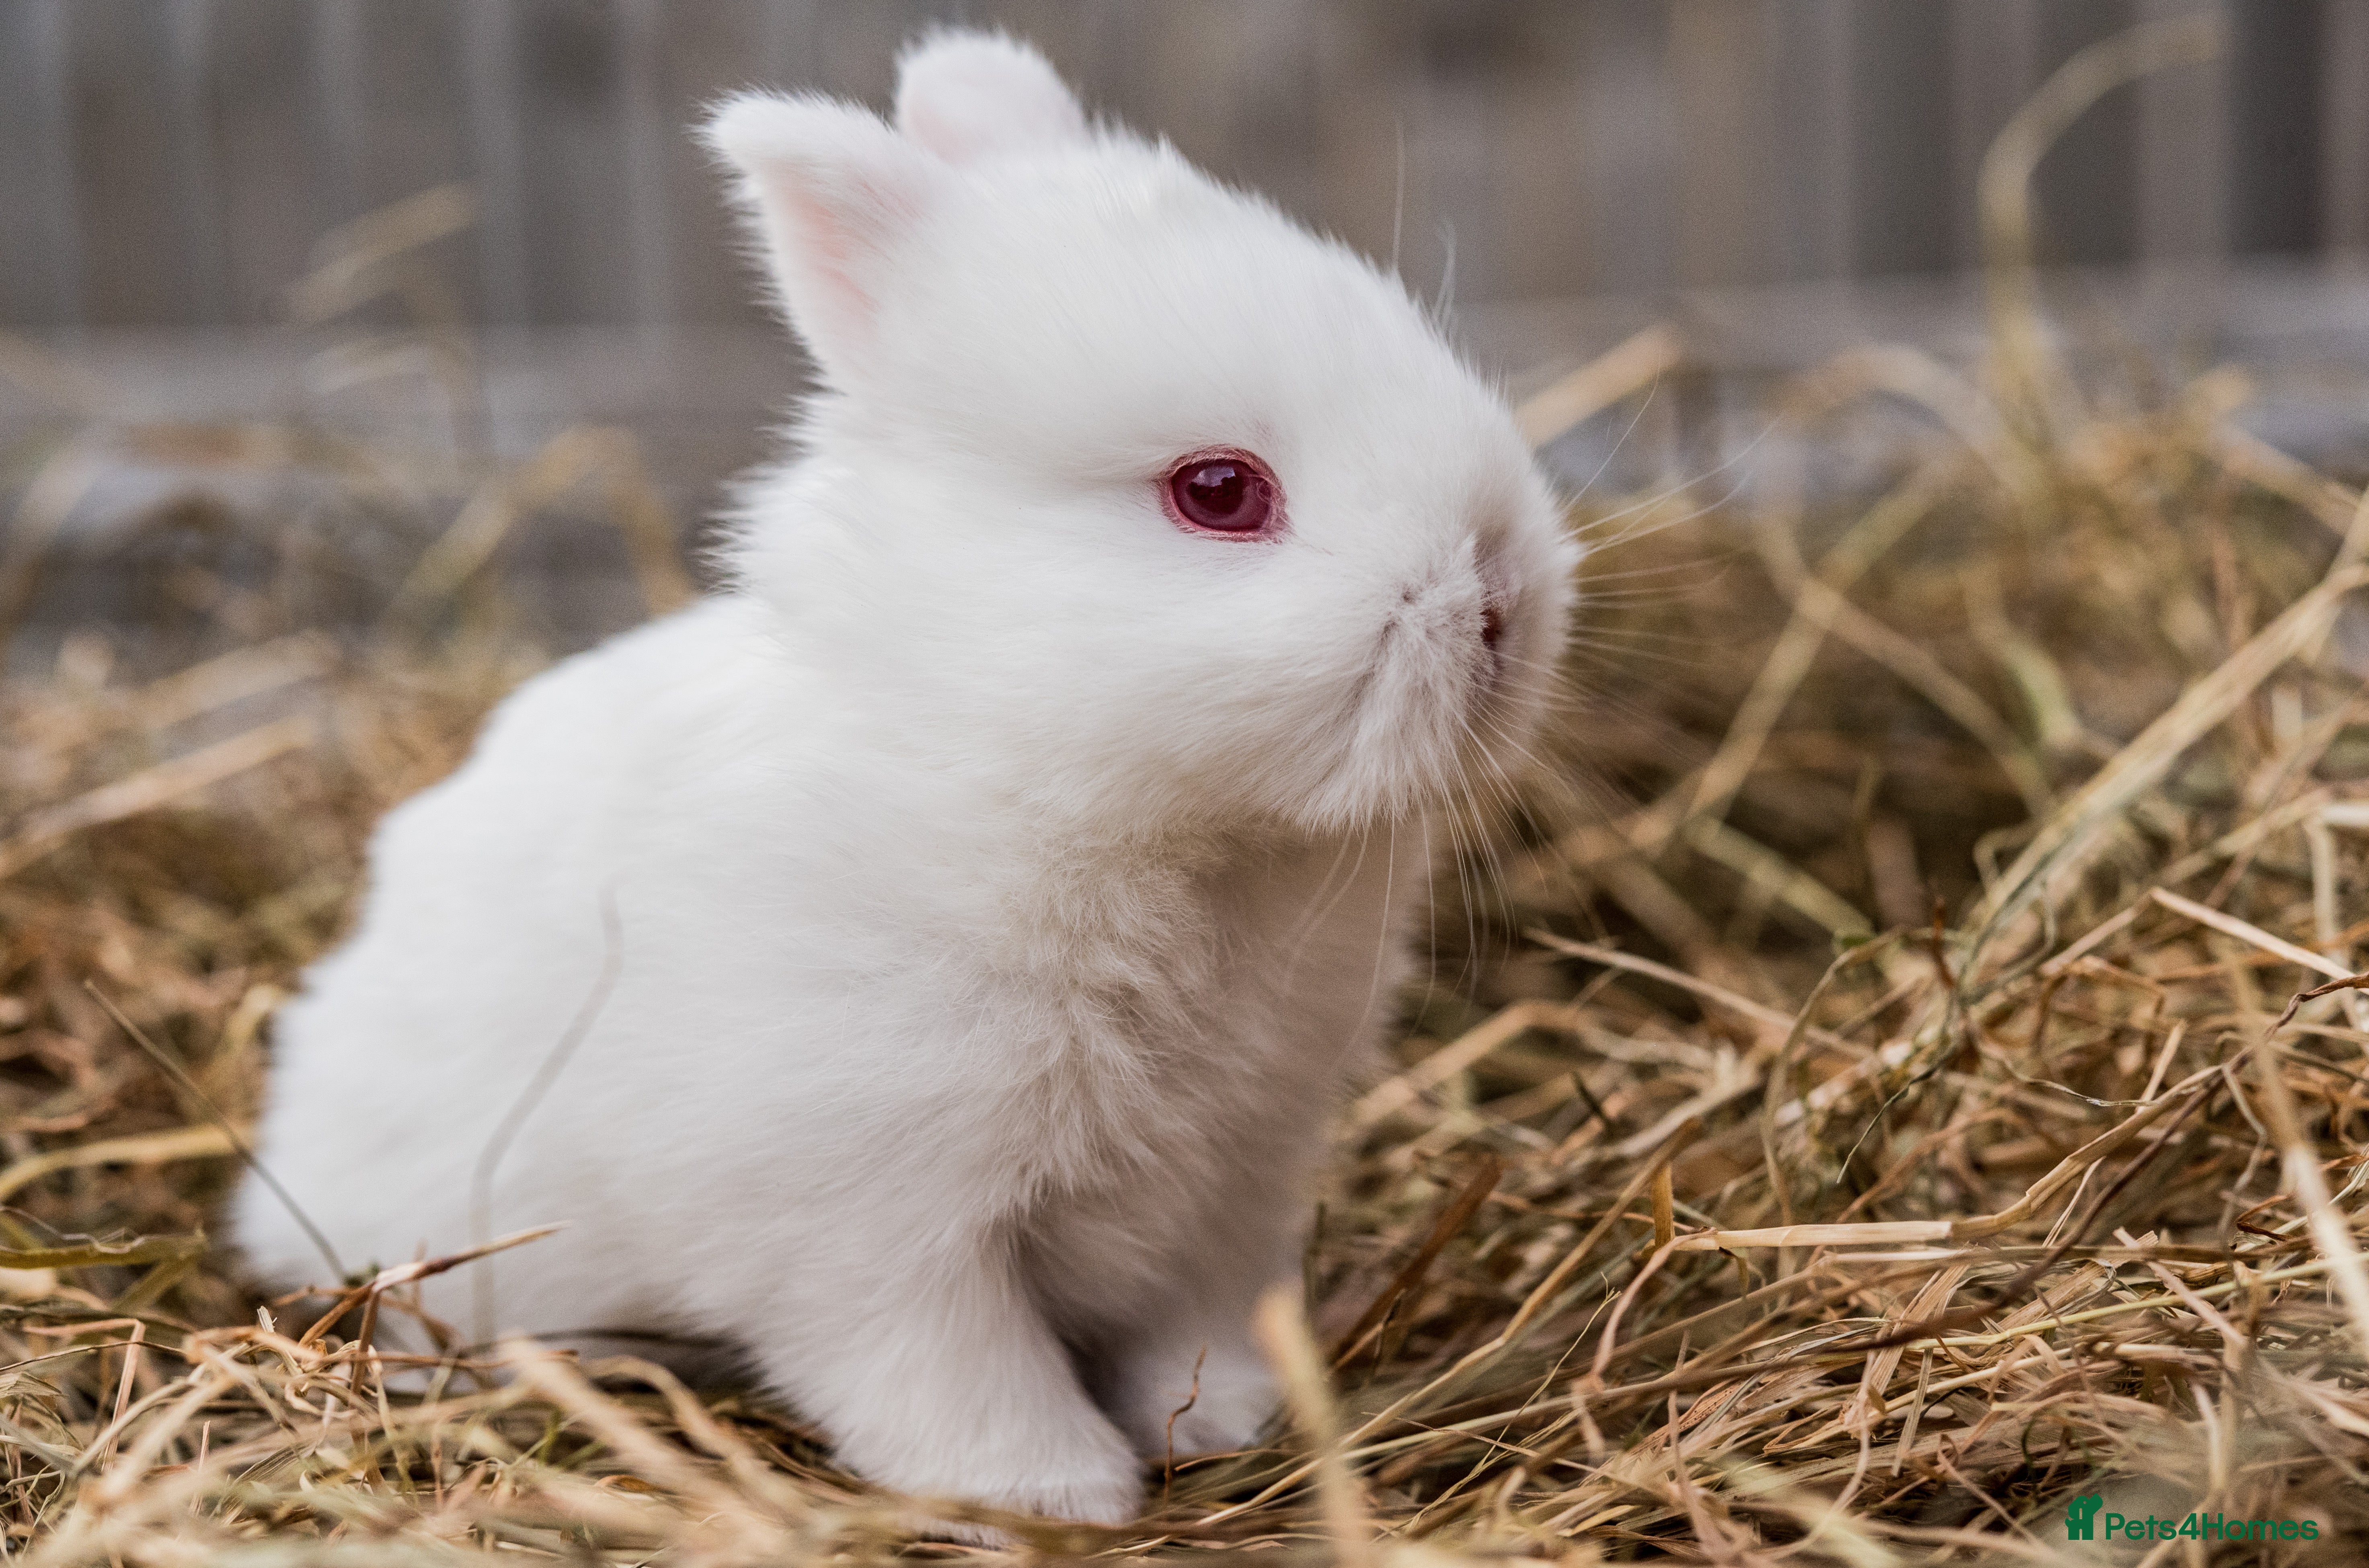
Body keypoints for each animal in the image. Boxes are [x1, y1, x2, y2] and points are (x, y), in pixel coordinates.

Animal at [234, 28, 1576, 1530]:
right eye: (1219, 491)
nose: (1504, 602)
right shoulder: (867, 1216)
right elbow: (948, 1366)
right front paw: (1051, 1493)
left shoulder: (1231, 1187)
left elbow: (1195, 1323)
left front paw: (1228, 1421)